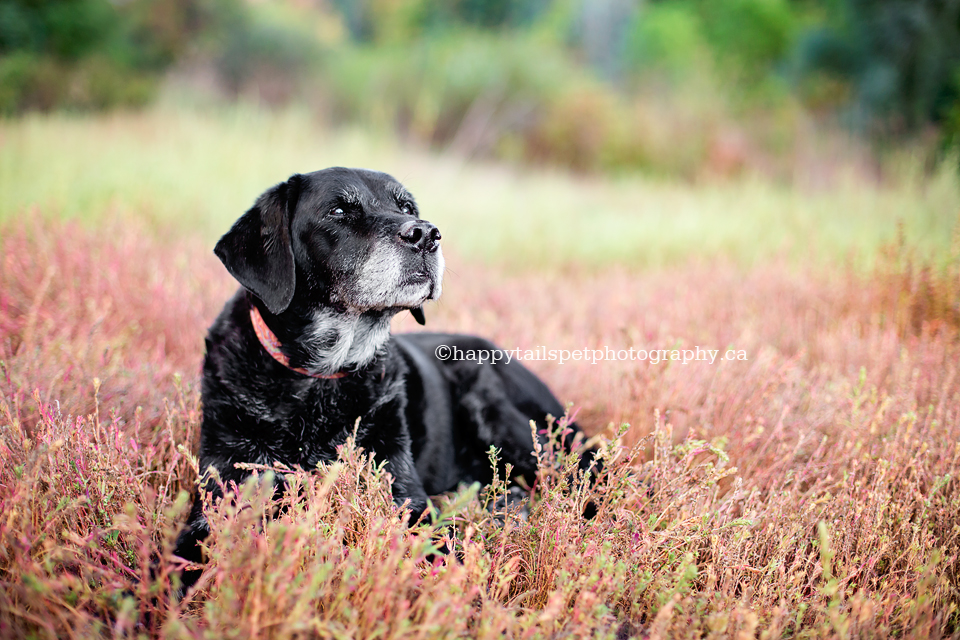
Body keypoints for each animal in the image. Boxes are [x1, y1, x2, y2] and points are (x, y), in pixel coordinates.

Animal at [172, 169, 592, 592]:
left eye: (406, 207)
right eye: (339, 211)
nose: (426, 234)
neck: (321, 377)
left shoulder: (406, 496)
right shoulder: (223, 489)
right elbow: (179, 562)